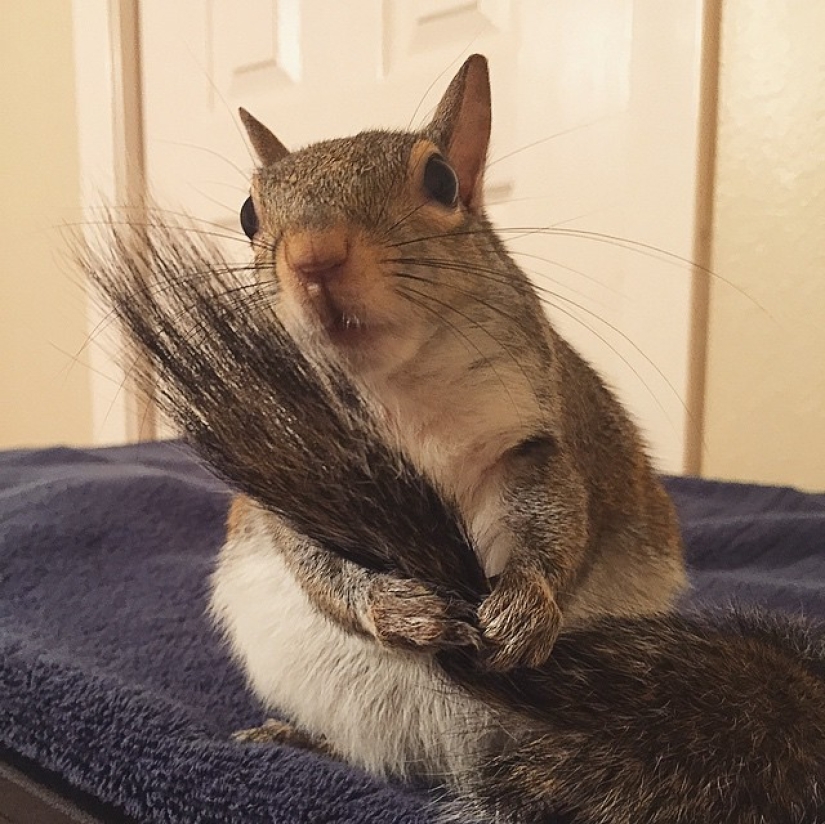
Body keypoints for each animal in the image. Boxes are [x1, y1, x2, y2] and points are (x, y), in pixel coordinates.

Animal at [83, 54, 821, 822]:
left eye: (440, 181)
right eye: (249, 213)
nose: (314, 258)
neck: (394, 392)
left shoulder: (536, 440)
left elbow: (557, 523)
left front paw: (527, 604)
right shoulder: (282, 466)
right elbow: (318, 565)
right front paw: (391, 605)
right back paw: (298, 737)